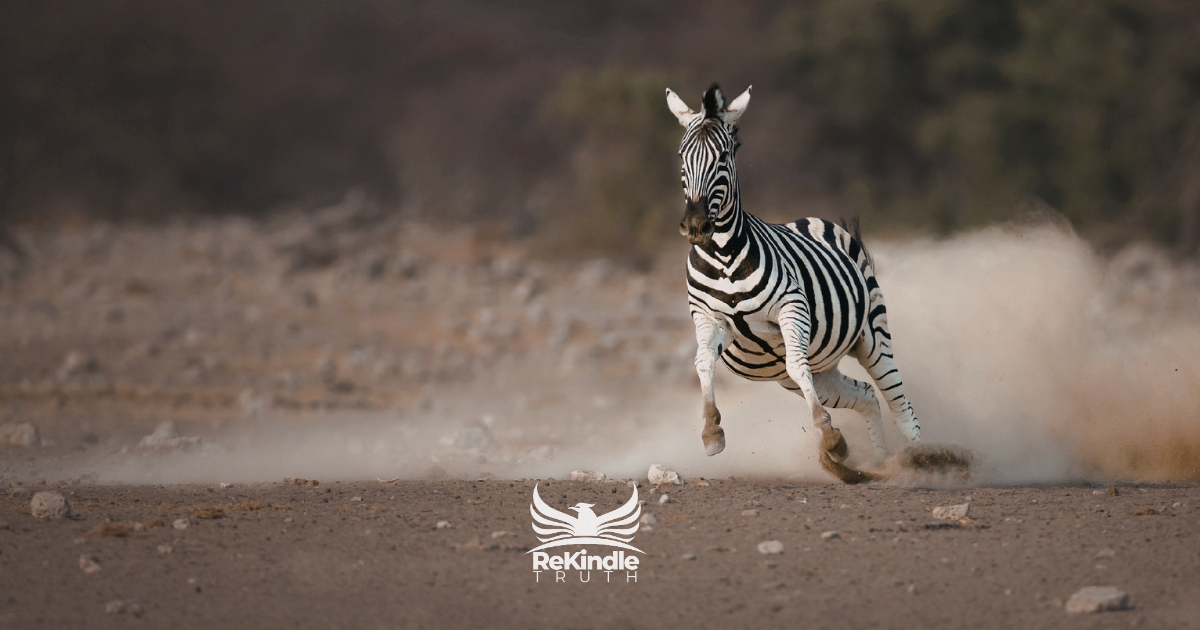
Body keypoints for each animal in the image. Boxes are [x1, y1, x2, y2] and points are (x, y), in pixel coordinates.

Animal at [664, 83, 922, 482]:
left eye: (725, 155)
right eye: (682, 154)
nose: (695, 226)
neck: (723, 255)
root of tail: (814, 220)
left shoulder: (791, 309)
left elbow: (797, 364)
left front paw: (831, 439)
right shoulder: (707, 318)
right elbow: (703, 363)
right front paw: (711, 433)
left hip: (873, 335)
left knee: (899, 404)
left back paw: (928, 463)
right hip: (824, 368)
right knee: (865, 394)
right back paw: (879, 467)